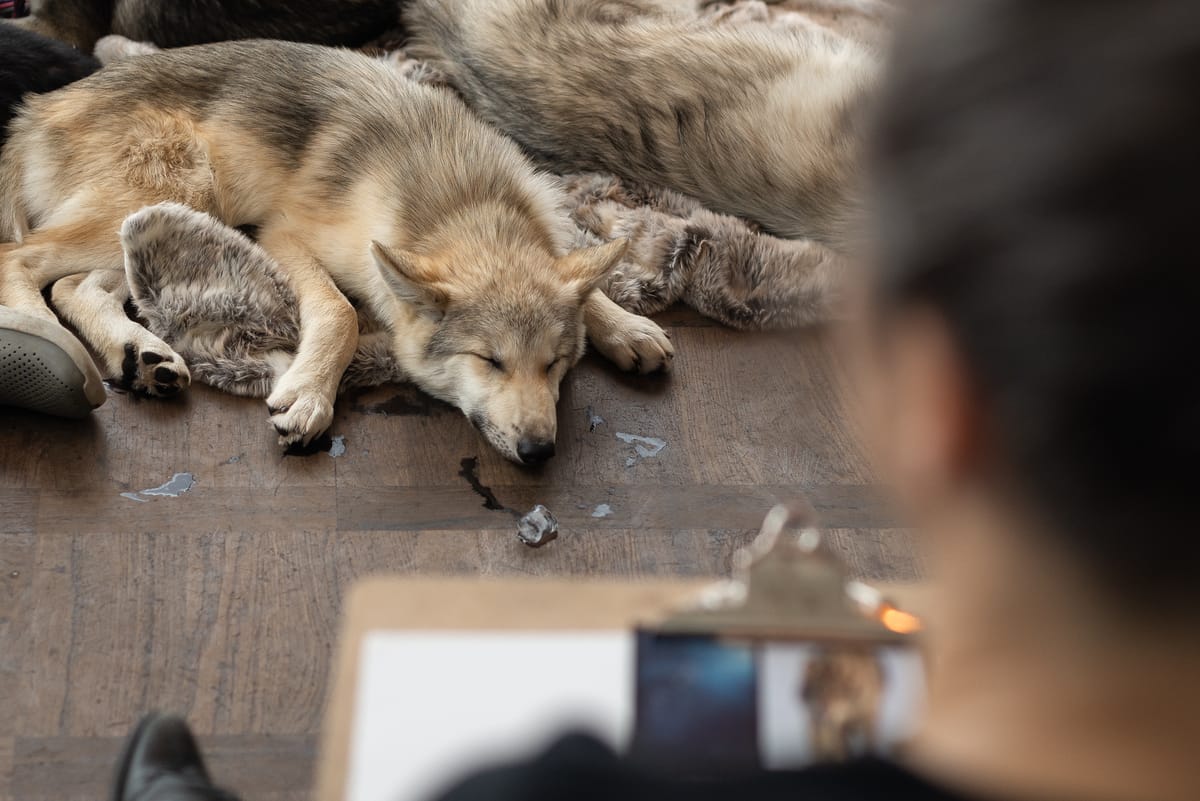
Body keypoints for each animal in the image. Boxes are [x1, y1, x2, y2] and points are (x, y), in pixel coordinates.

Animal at [0, 40, 673, 464]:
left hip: (148, 224)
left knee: (75, 286)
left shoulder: (546, 218)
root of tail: (32, 111)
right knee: (20, 261)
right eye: (490, 361)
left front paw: (625, 326)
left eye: (556, 364)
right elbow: (341, 312)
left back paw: (139, 353)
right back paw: (36, 334)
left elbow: (580, 267)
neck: (464, 202)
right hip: (183, 191)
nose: (540, 454)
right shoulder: (283, 236)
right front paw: (312, 392)